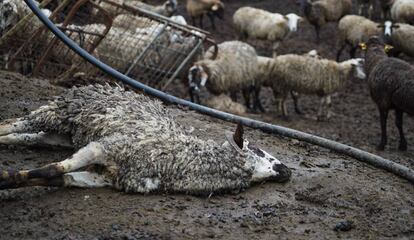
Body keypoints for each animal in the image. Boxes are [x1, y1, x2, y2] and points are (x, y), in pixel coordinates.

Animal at [0, 84, 290, 195]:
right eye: (258, 150)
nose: (287, 170)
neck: (178, 160)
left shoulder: (105, 177)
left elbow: (55, 178)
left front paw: (11, 181)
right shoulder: (102, 147)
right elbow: (52, 169)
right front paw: (6, 180)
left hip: (62, 135)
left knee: (28, 137)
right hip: (58, 112)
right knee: (15, 123)